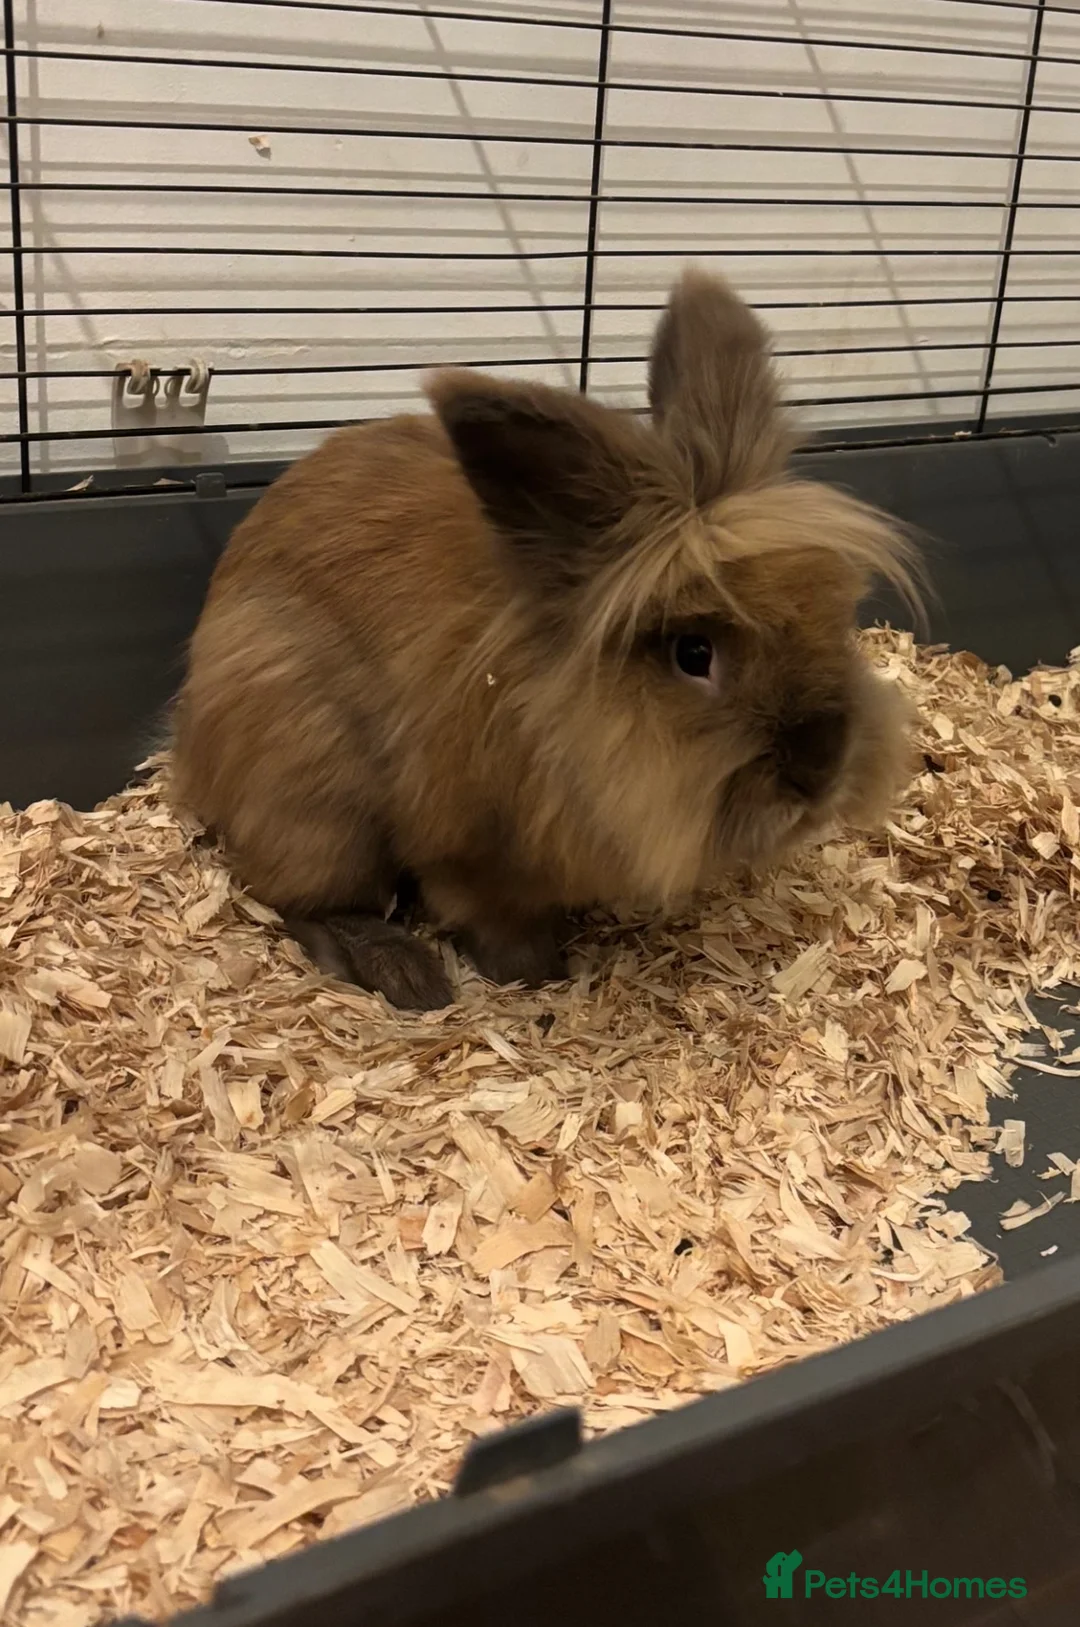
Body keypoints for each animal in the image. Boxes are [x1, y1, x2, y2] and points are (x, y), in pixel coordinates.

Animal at [170, 267, 920, 1012]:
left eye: (831, 611)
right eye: (693, 654)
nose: (820, 770)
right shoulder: (464, 848)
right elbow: (490, 914)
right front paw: (540, 973)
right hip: (314, 795)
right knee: (303, 898)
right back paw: (407, 976)